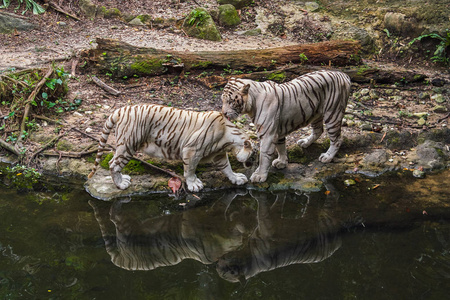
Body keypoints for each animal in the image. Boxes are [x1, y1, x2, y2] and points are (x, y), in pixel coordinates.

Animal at [88, 104, 255, 191]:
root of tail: (122, 109)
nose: (252, 164)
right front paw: (194, 184)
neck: (228, 139)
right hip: (128, 144)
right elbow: (190, 169)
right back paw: (121, 184)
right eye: (253, 155)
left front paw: (236, 178)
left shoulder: (219, 154)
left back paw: (123, 178)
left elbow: (227, 168)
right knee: (113, 164)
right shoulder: (191, 150)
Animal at [221, 70, 352, 183]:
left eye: (231, 102)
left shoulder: (268, 134)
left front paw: (259, 175)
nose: (224, 113)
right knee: (319, 130)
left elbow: (264, 156)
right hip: (316, 113)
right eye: (222, 100)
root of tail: (343, 74)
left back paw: (327, 156)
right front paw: (282, 162)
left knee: (337, 139)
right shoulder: (278, 131)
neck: (252, 105)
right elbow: (281, 147)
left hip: (333, 113)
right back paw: (305, 142)